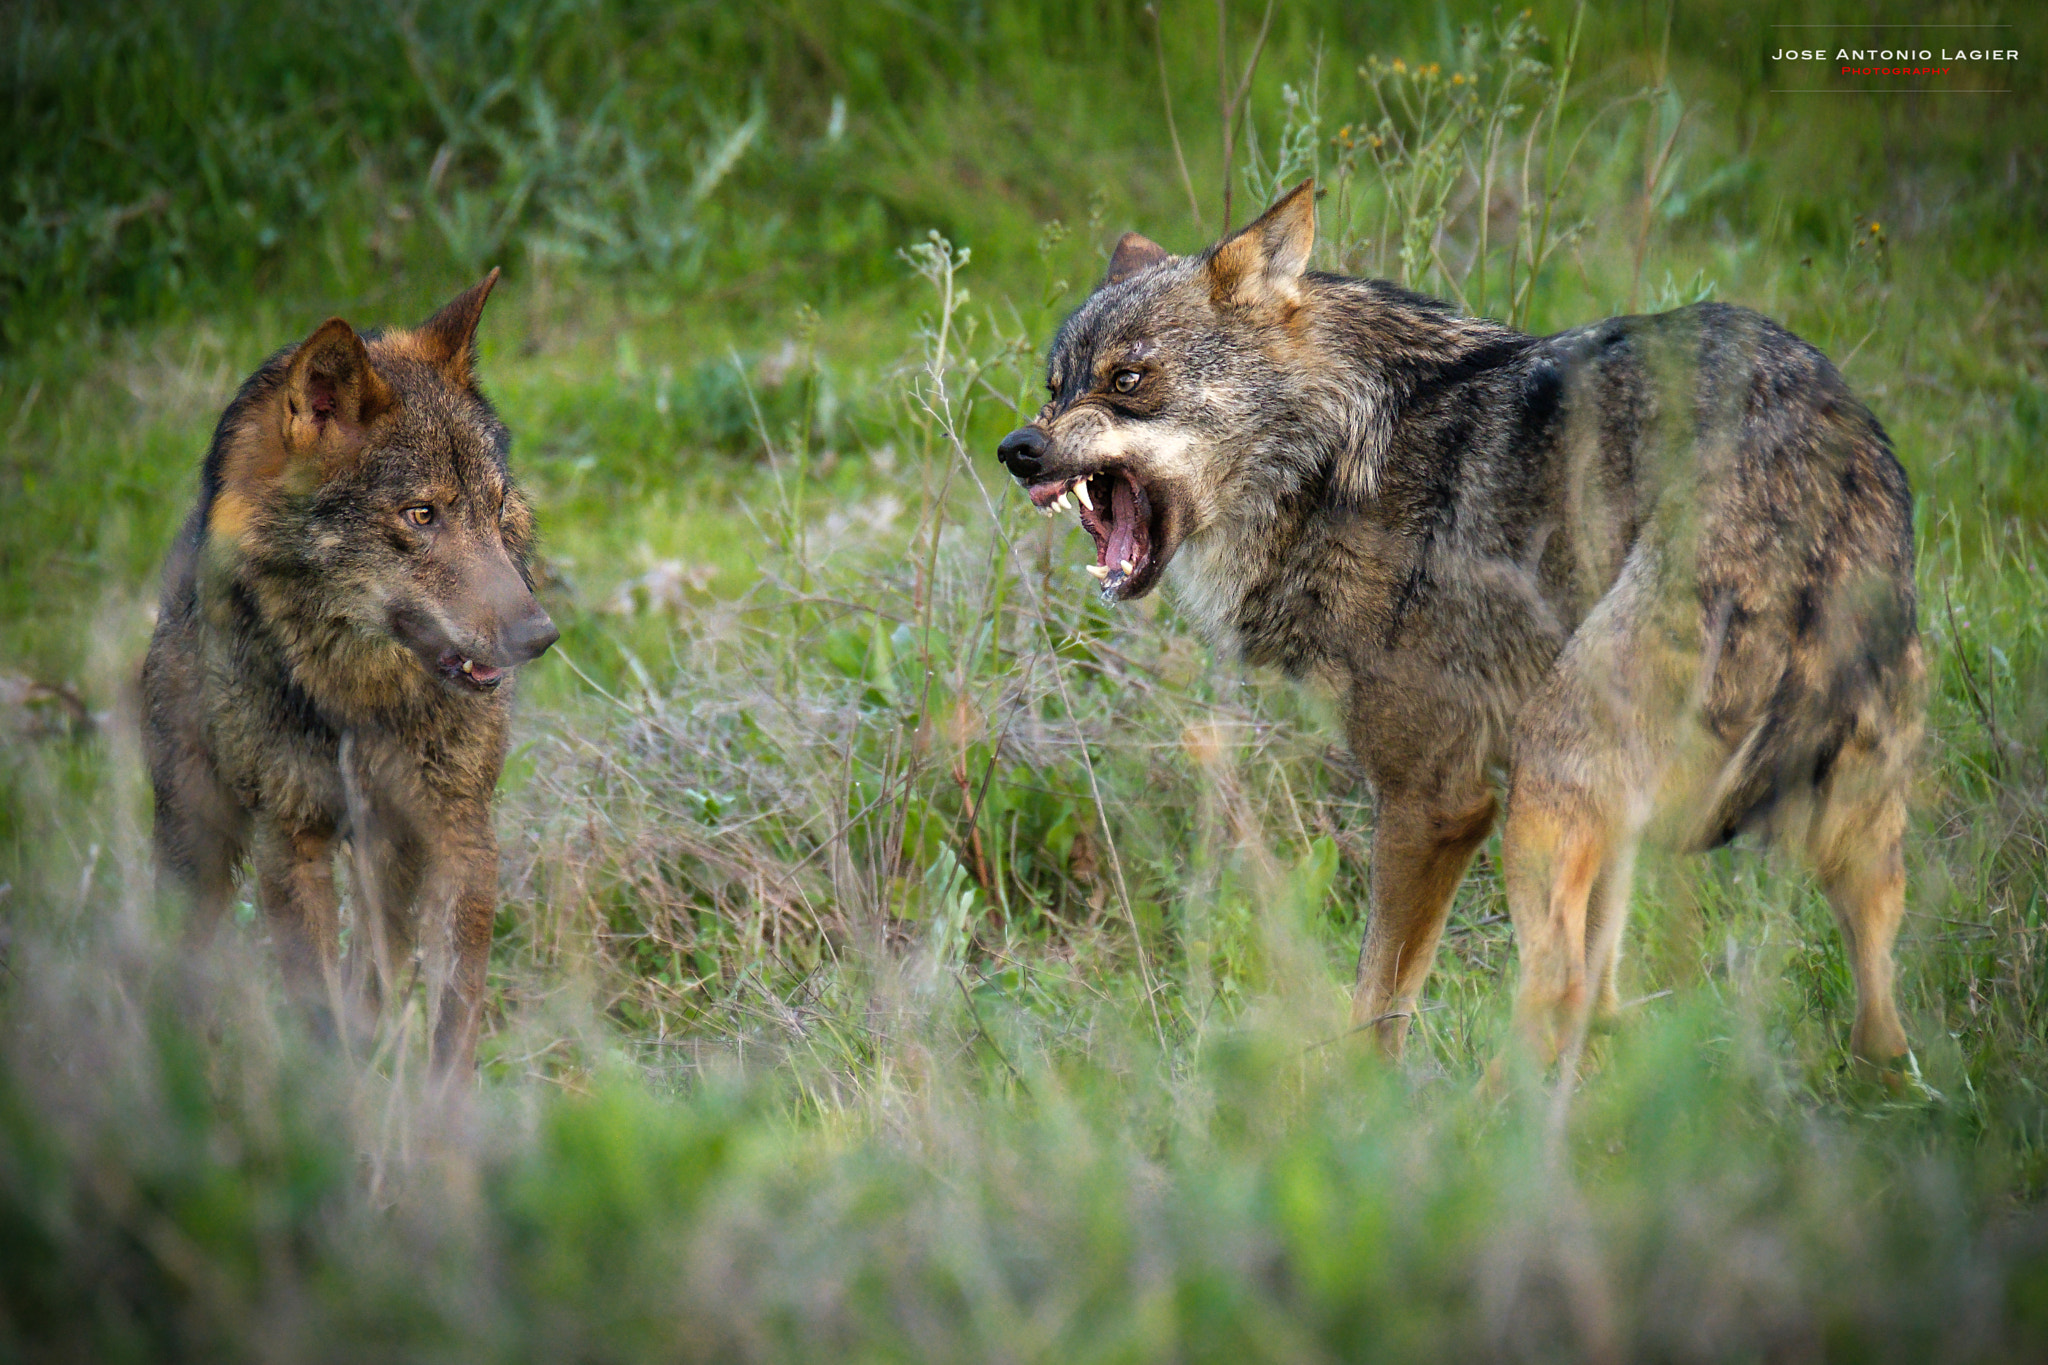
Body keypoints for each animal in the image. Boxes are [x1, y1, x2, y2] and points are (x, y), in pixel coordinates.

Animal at [141, 274, 561, 1088]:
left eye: (496, 506)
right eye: (421, 515)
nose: (539, 637)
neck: (359, 698)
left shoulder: (461, 832)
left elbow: (452, 1019)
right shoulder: (290, 841)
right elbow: (317, 1011)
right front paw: (338, 1102)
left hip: (384, 860)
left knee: (378, 973)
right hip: (196, 842)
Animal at [999, 184, 1925, 1080]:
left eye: (1128, 379)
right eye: (1055, 384)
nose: (1017, 448)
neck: (1335, 458)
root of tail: (1824, 453)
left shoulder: (1436, 799)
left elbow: (1377, 1002)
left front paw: (1361, 1107)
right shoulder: (1594, 824)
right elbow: (1602, 997)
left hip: (1549, 784)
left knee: (1553, 985)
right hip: (1843, 830)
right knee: (1874, 1017)